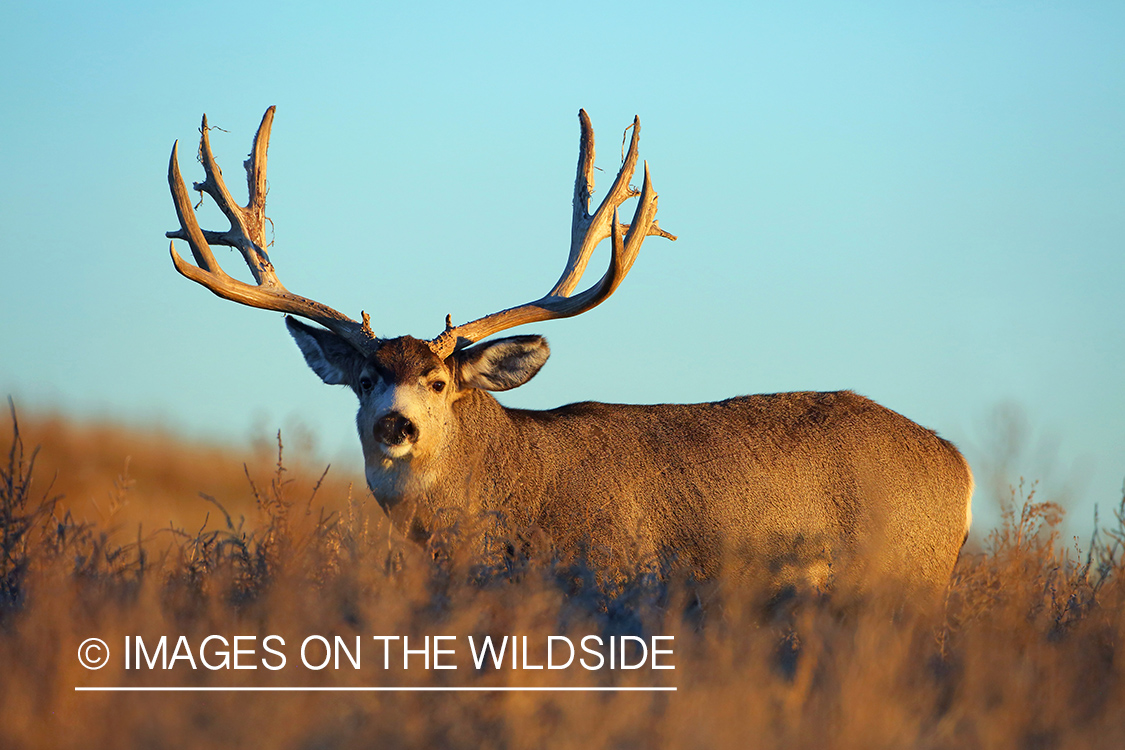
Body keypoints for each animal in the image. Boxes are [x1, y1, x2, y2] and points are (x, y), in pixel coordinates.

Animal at [165, 106, 973, 597]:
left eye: (438, 380)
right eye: (364, 378)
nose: (395, 424)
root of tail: (959, 468)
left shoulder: (620, 573)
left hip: (906, 576)